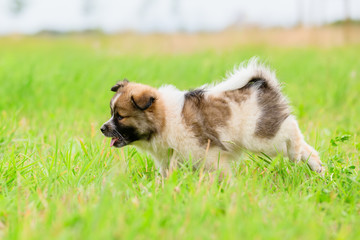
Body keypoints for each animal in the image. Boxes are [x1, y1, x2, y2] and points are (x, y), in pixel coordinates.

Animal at [100, 60, 324, 176]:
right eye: (111, 113)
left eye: (120, 116)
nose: (102, 128)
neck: (164, 120)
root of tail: (266, 86)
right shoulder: (169, 161)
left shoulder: (209, 155)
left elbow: (221, 174)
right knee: (307, 149)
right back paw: (318, 169)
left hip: (261, 137)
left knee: (293, 132)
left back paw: (299, 154)